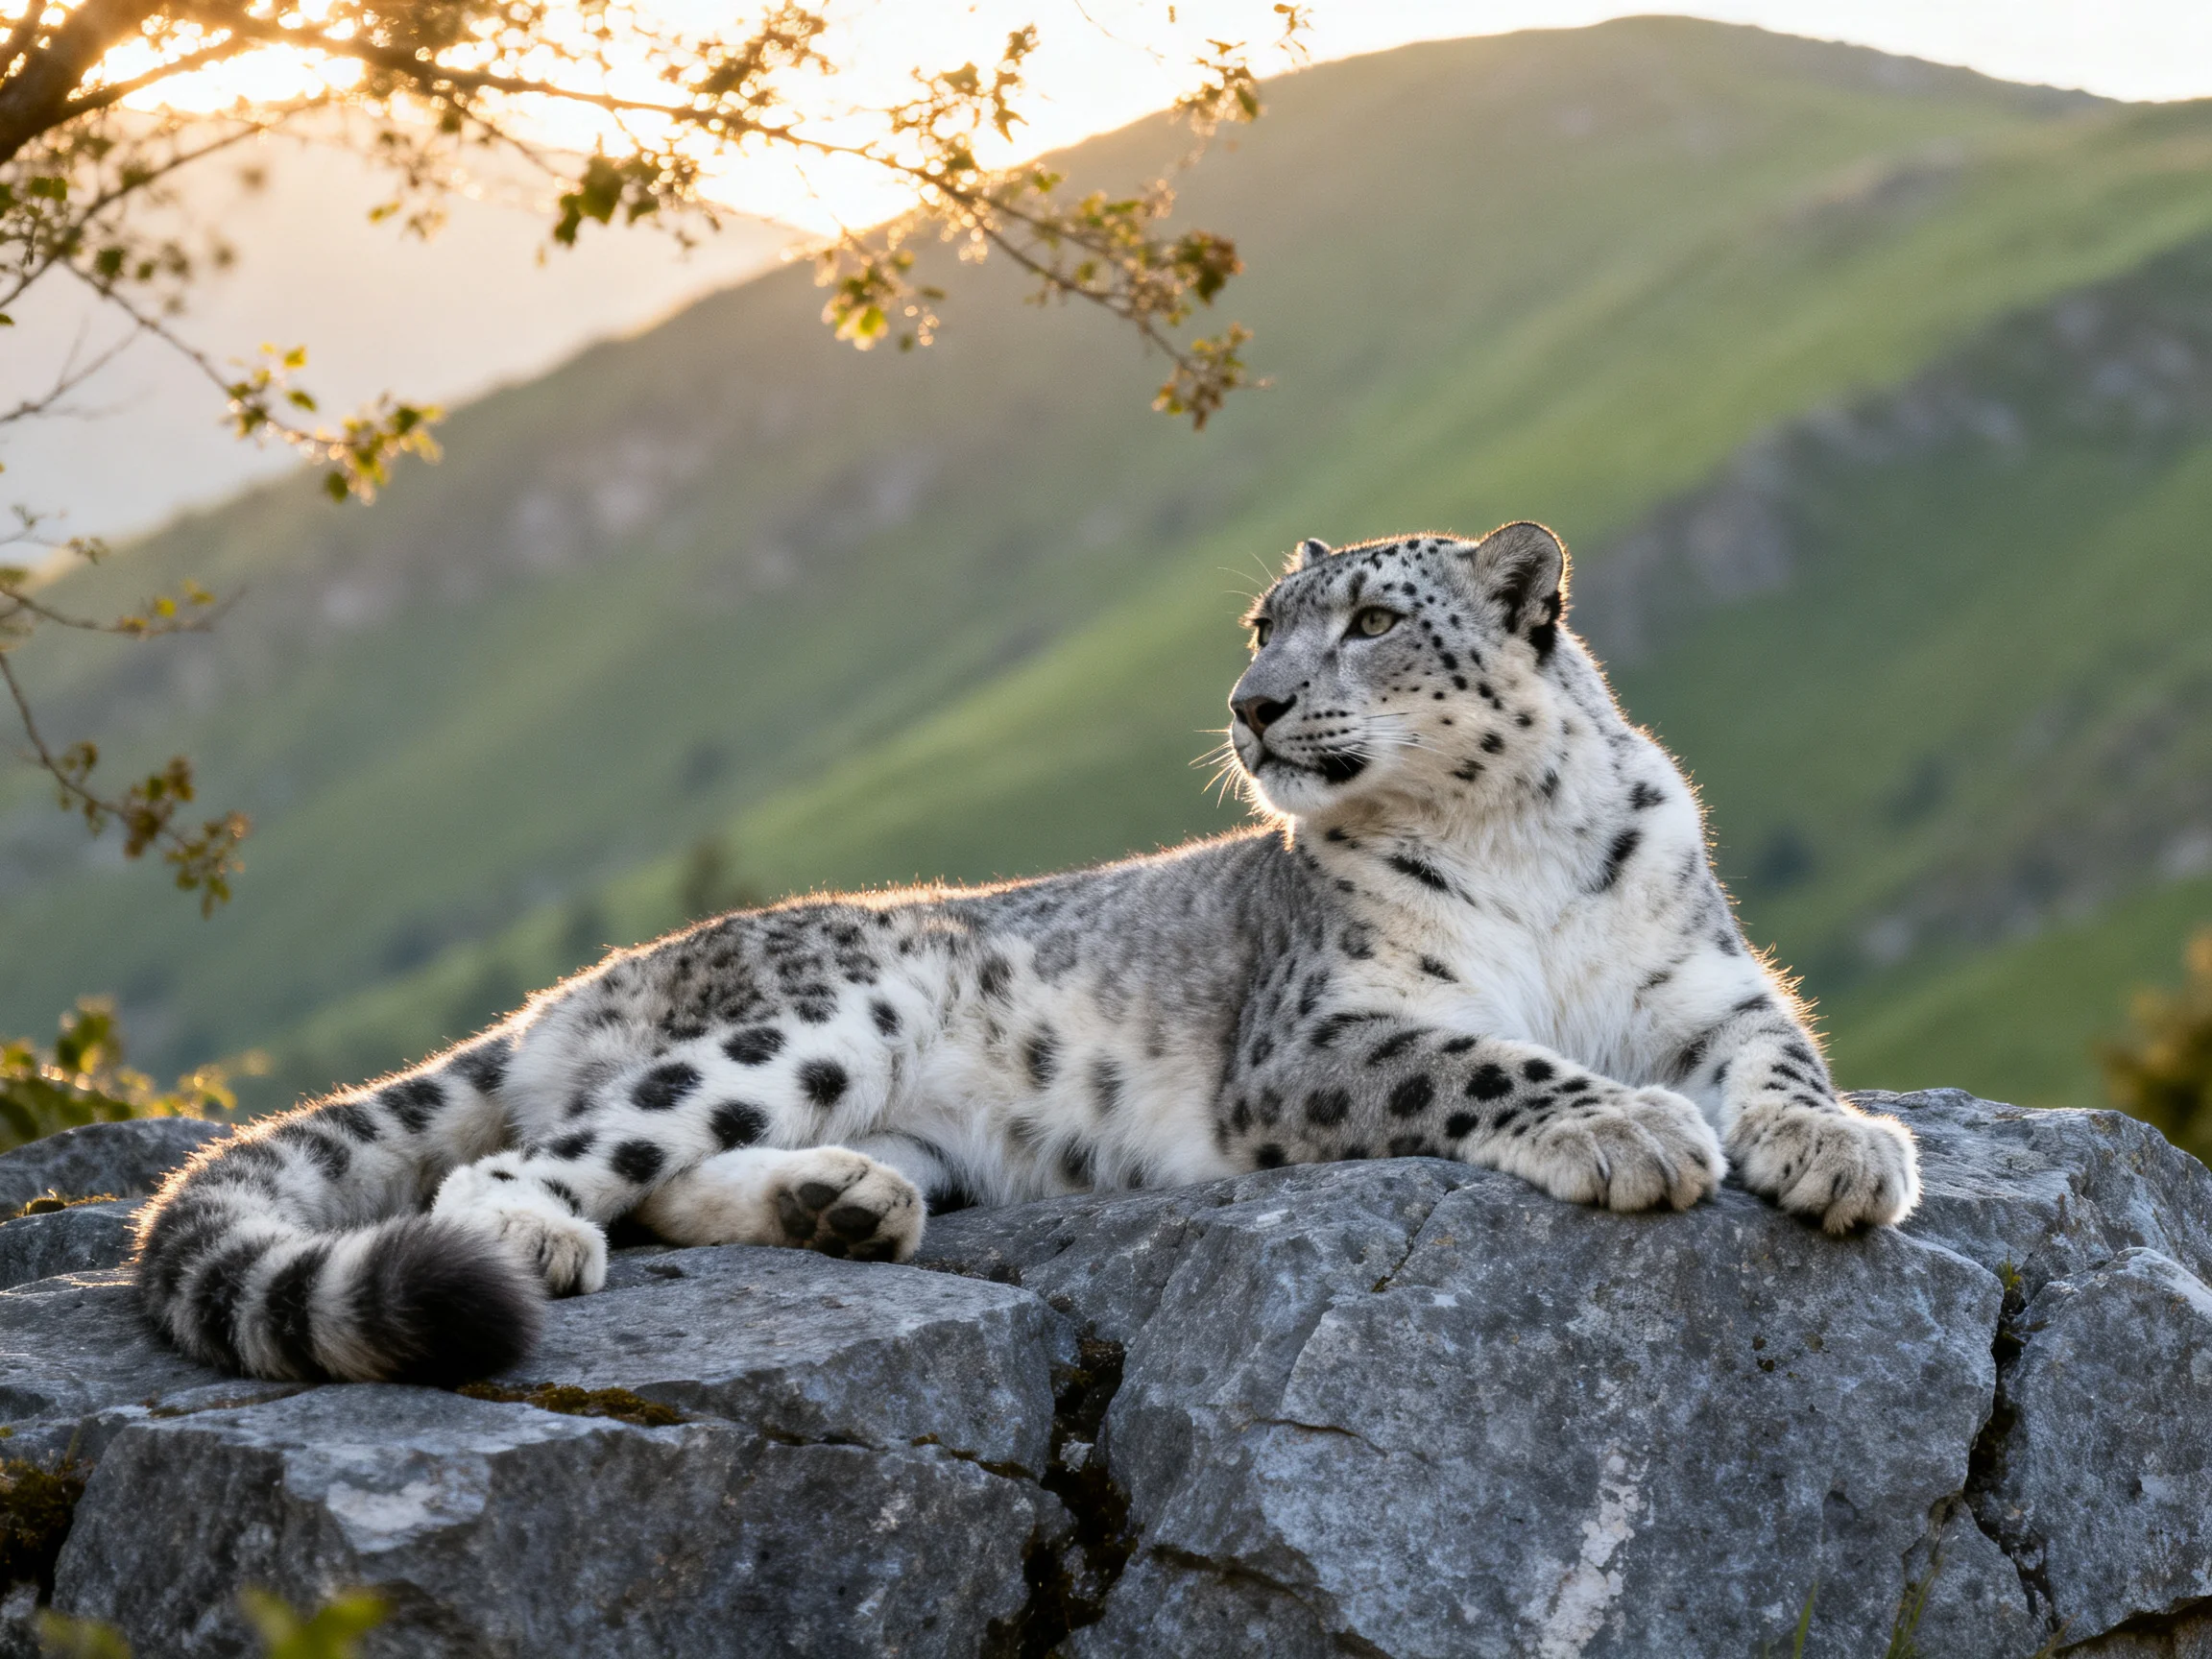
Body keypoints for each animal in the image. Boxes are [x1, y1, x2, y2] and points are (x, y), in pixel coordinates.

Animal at [136, 521, 1919, 1383]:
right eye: (1260, 625)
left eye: (1367, 621)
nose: (1250, 706)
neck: (1520, 851)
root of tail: (581, 982)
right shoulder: (1322, 1032)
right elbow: (1488, 1057)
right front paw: (1629, 1131)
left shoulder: (1705, 980)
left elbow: (1777, 1060)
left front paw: (1839, 1153)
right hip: (821, 1015)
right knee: (539, 1155)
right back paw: (538, 1241)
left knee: (666, 1170)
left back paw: (844, 1203)